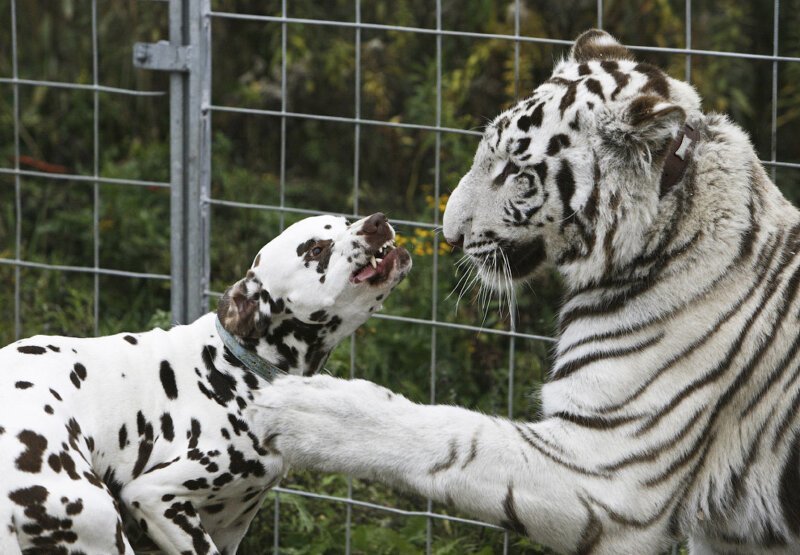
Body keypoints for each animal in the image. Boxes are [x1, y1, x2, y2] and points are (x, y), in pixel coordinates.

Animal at [0, 214, 410, 555]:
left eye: (345, 221)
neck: (233, 369)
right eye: (316, 250)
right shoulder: (156, 497)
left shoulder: (230, 527)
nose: (377, 221)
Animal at [250, 31, 800, 555]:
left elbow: (453, 434)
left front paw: (300, 407)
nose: (449, 235)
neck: (661, 230)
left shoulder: (609, 470)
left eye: (516, 172)